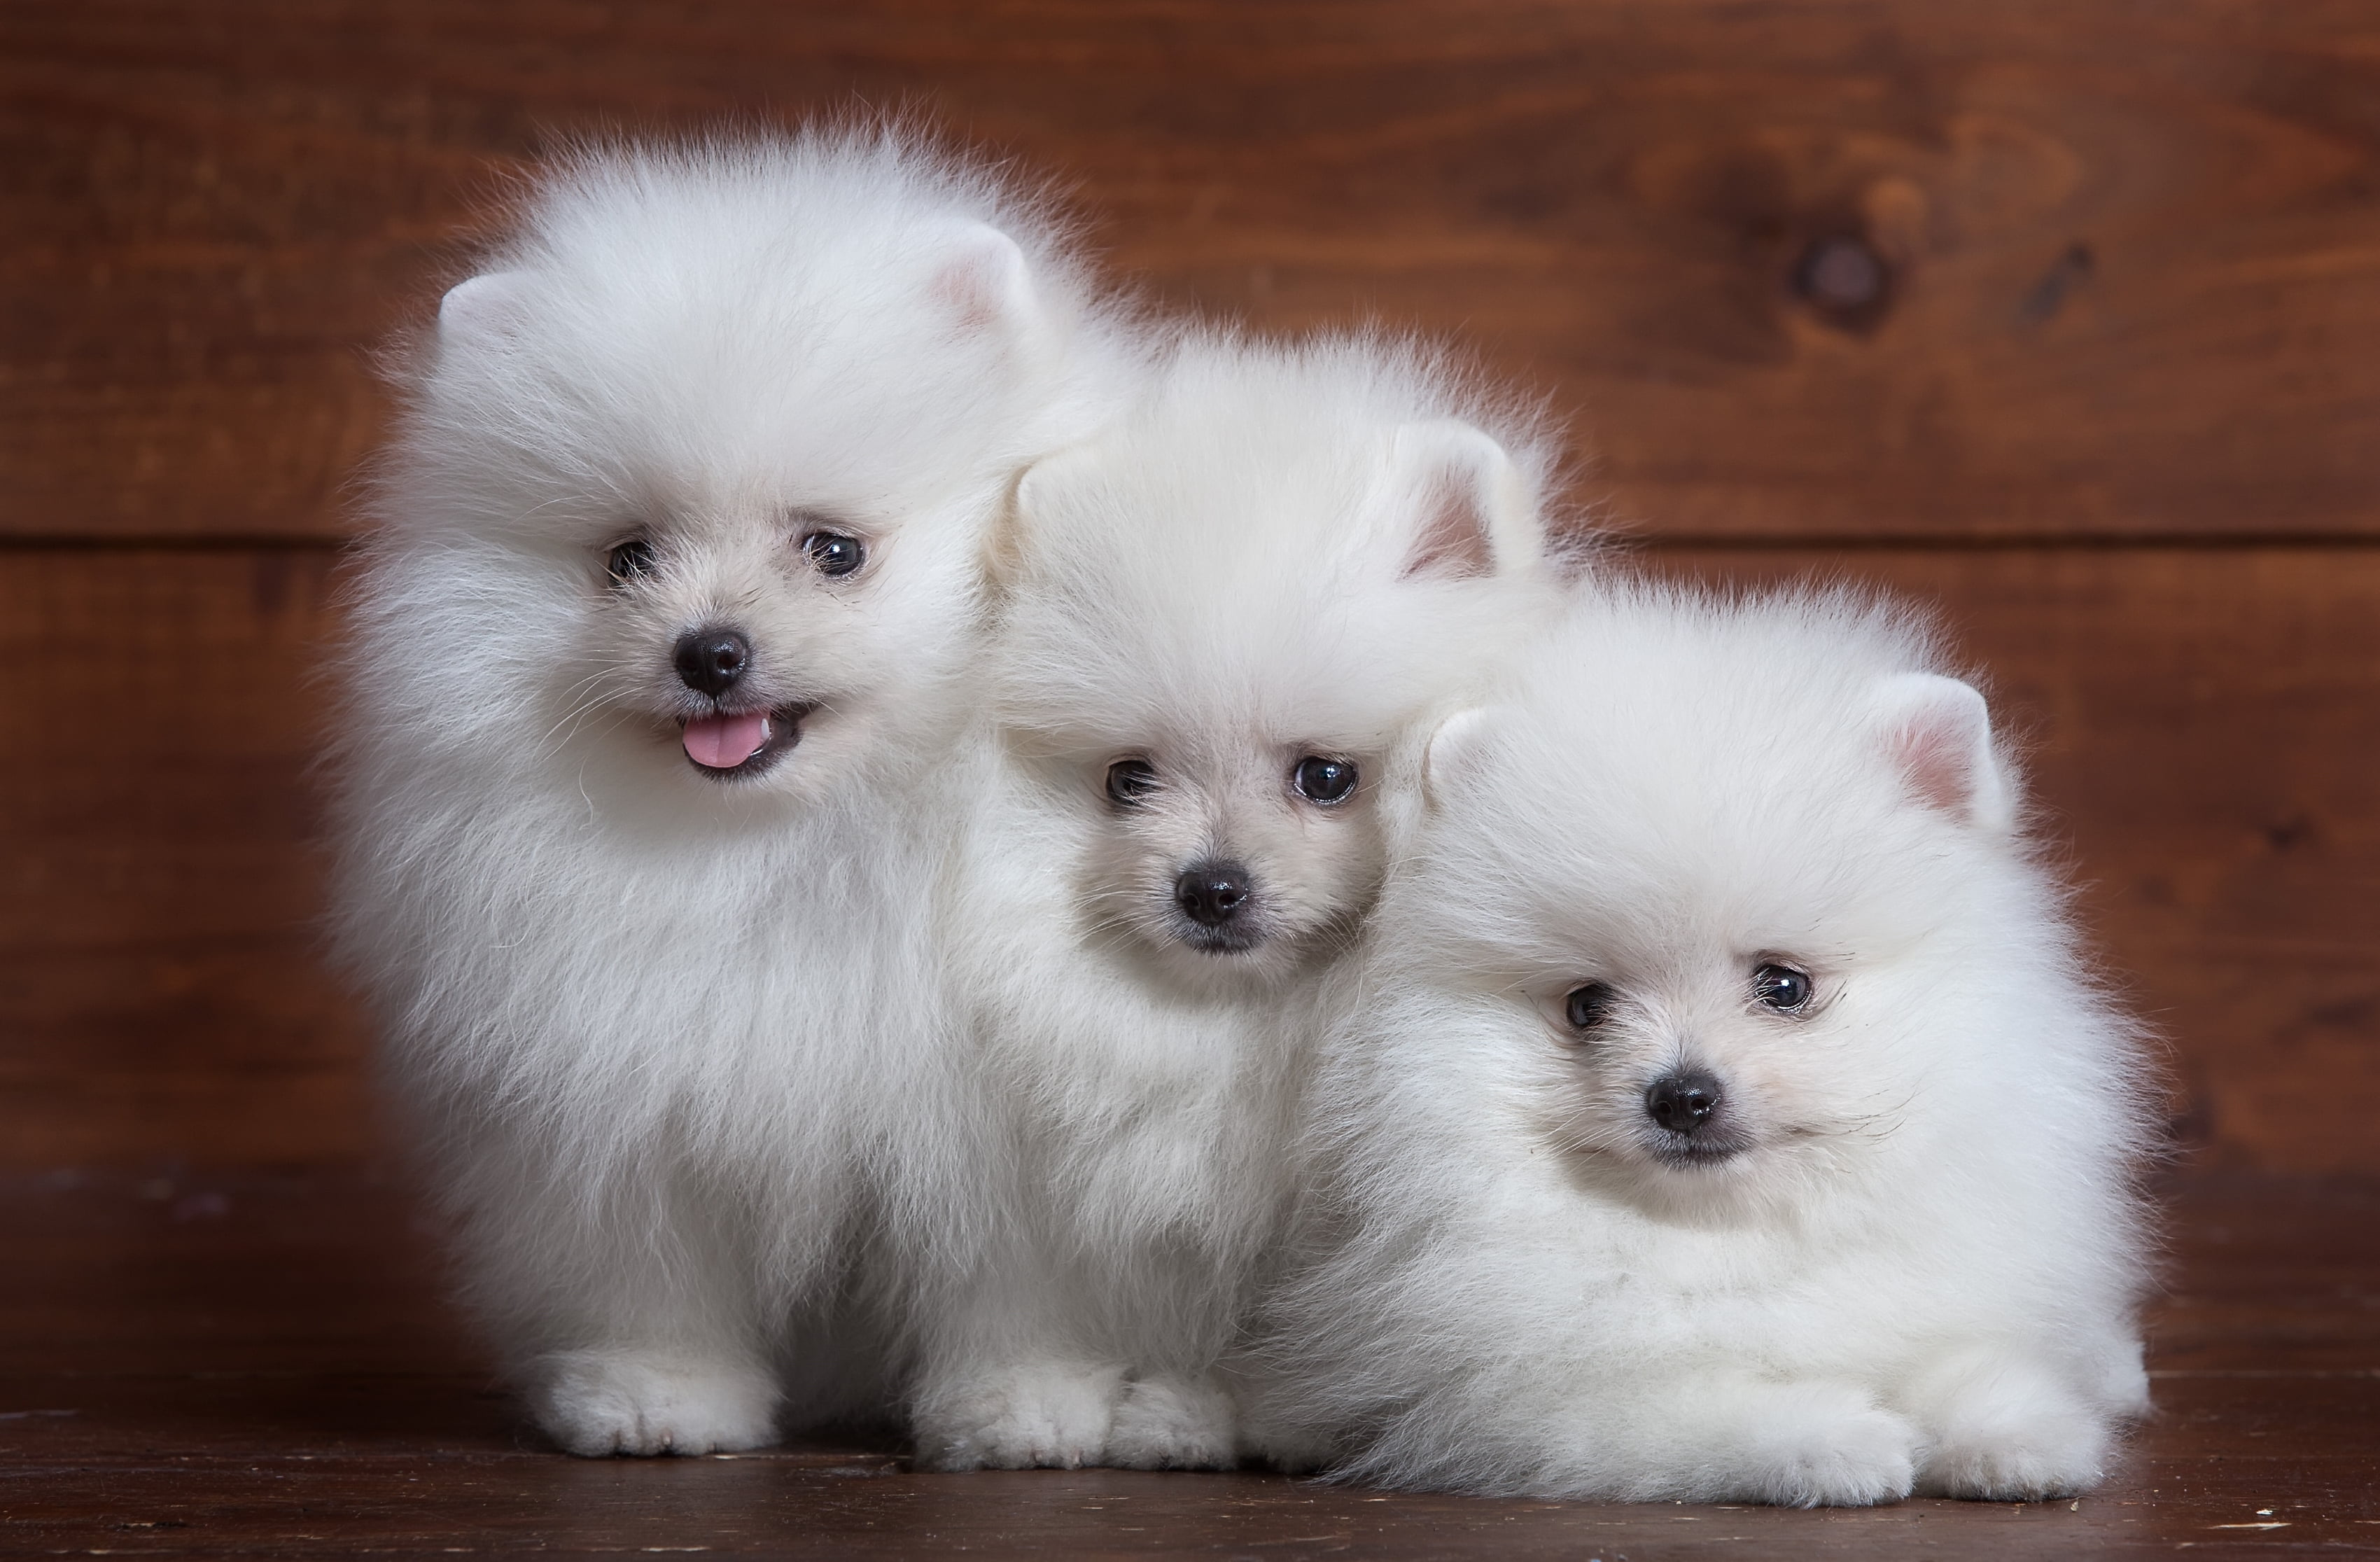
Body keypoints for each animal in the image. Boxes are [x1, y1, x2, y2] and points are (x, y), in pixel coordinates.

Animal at [326, 134, 1123, 1466]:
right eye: (628, 558)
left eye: (834, 550)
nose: (708, 651)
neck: (795, 841)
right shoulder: (622, 1095)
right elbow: (651, 1263)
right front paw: (657, 1395)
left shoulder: (1006, 1118)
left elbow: (1022, 1271)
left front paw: (1032, 1402)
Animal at [899, 333, 1571, 1476]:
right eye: (1128, 778)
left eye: (1327, 777)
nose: (1210, 885)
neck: (1241, 1021)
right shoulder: (1039, 1164)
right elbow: (1031, 1282)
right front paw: (1025, 1401)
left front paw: (1213, 1411)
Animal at [1247, 583, 2161, 1505]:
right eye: (1586, 1004)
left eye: (1784, 985)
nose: (1681, 1094)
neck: (1725, 1233)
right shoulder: (1525, 1400)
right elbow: (1699, 1406)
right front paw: (1839, 1439)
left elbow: (1966, 1352)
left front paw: (2016, 1433)